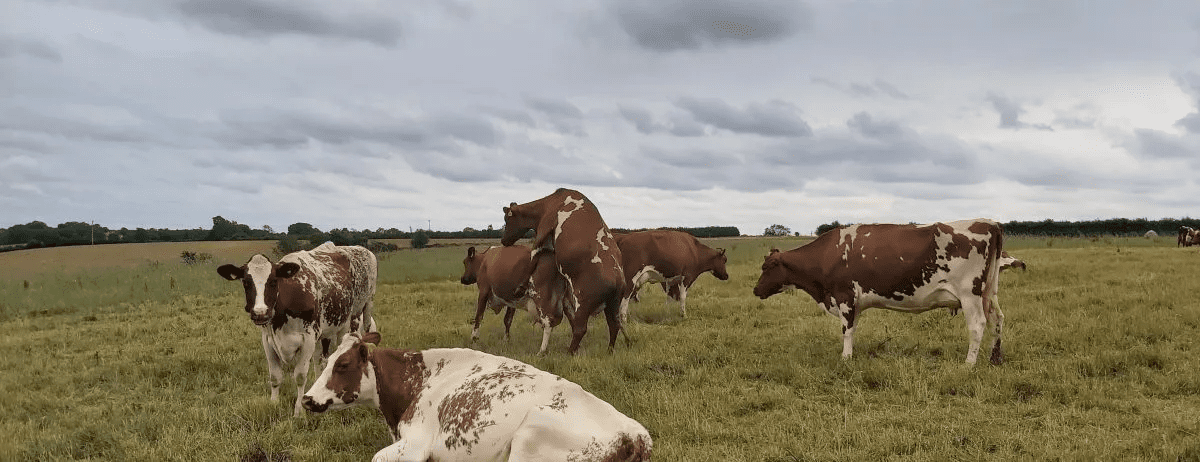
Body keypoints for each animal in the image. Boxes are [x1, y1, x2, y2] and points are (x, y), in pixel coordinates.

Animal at [218, 242, 376, 415]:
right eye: (246, 282)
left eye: (273, 281)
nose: (260, 313)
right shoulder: (268, 340)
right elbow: (275, 376)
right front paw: (274, 403)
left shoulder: (308, 338)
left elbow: (300, 376)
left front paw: (299, 410)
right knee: (319, 360)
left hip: (360, 312)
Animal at [304, 331, 652, 460]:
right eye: (326, 360)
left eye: (343, 364)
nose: (307, 399)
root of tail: (636, 434)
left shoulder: (417, 444)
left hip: (529, 438)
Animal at [499, 187, 628, 352]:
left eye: (507, 220)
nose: (503, 241)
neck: (550, 203)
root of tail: (617, 280)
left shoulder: (542, 230)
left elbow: (533, 258)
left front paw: (521, 286)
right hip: (613, 304)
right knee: (614, 325)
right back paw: (609, 351)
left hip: (583, 304)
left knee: (580, 329)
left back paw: (570, 351)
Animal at [753, 218, 1008, 364]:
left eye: (766, 267)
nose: (755, 289)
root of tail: (989, 222)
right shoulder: (854, 303)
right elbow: (853, 329)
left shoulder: (845, 296)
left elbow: (846, 331)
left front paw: (845, 358)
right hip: (989, 292)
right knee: (997, 319)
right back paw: (994, 358)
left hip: (969, 294)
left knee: (977, 325)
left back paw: (970, 363)